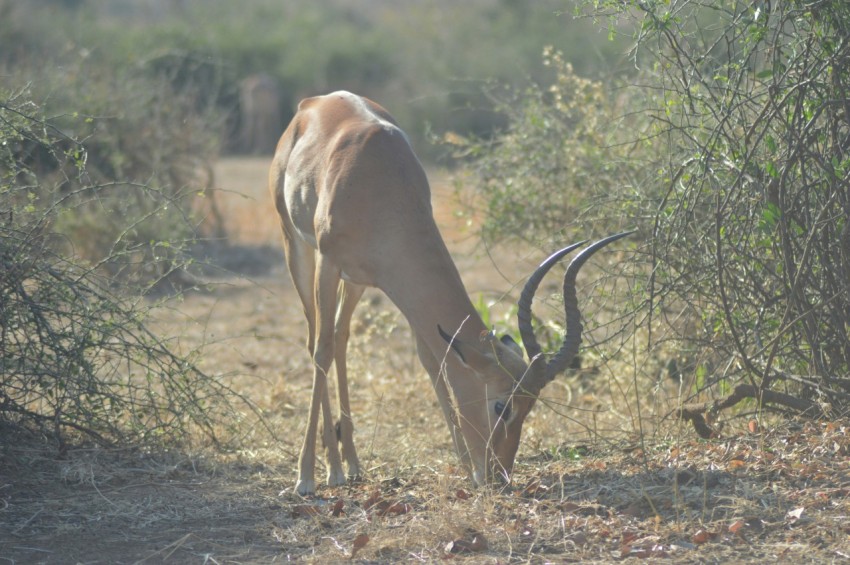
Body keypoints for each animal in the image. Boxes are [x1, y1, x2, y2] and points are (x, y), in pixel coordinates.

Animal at [272, 90, 628, 492]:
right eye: (502, 406)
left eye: (531, 405)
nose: (498, 475)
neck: (378, 179)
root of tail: (314, 101)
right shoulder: (328, 261)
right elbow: (321, 350)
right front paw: (307, 477)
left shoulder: (398, 285)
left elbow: (432, 360)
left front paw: (465, 465)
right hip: (298, 251)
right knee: (319, 342)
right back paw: (332, 468)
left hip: (356, 282)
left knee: (341, 338)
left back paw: (353, 463)